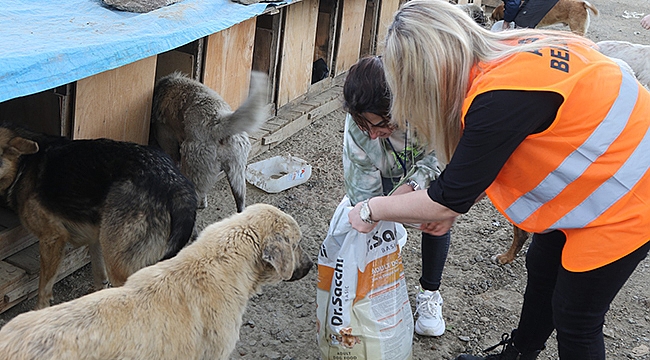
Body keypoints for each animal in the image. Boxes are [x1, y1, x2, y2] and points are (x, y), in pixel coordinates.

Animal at [0, 124, 196, 310]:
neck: (23, 165)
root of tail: (176, 186)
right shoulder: (96, 238)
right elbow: (99, 276)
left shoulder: (52, 237)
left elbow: (44, 287)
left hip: (118, 262)